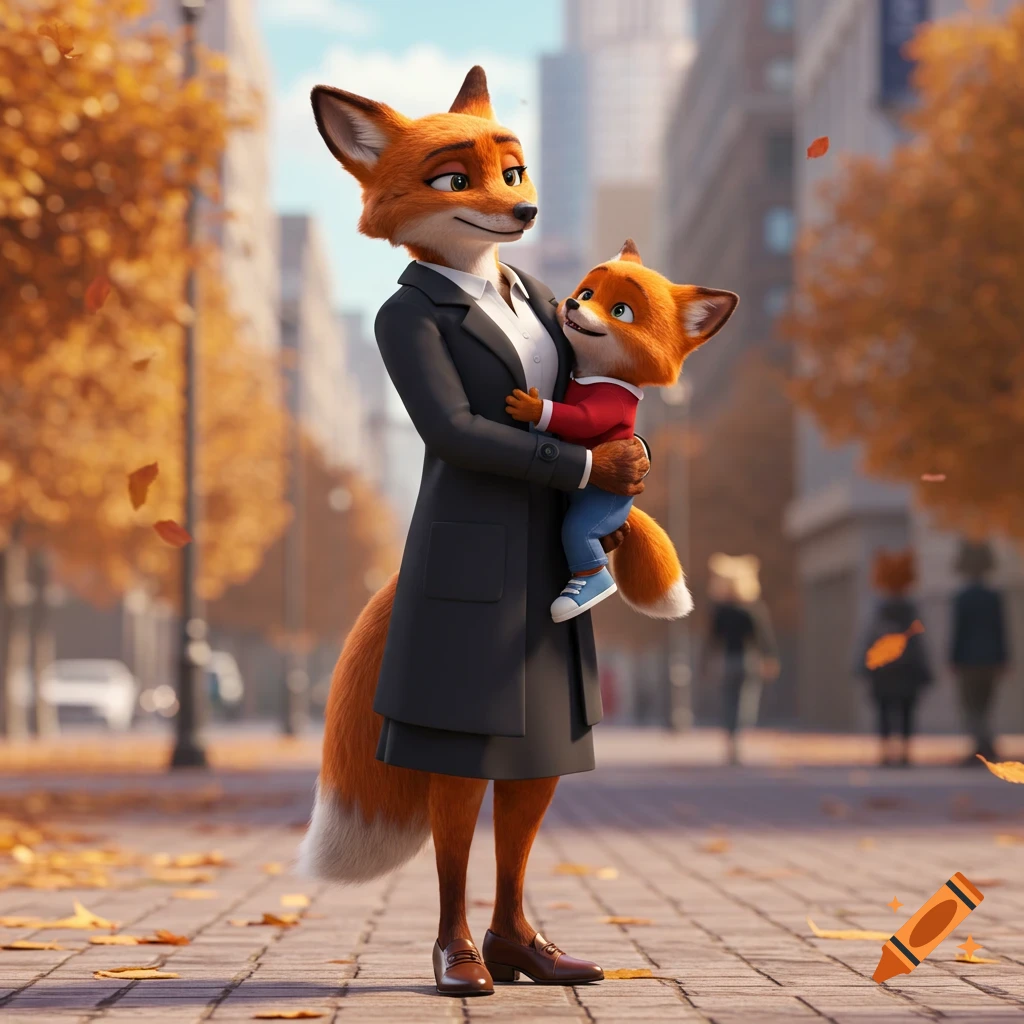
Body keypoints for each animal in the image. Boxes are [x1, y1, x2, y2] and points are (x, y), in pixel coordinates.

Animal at [505, 239, 738, 622]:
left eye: (620, 311)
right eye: (587, 294)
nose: (572, 304)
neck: (595, 374)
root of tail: (626, 509)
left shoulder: (612, 399)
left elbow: (580, 418)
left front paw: (533, 407)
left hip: (602, 505)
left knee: (580, 535)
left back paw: (583, 591)